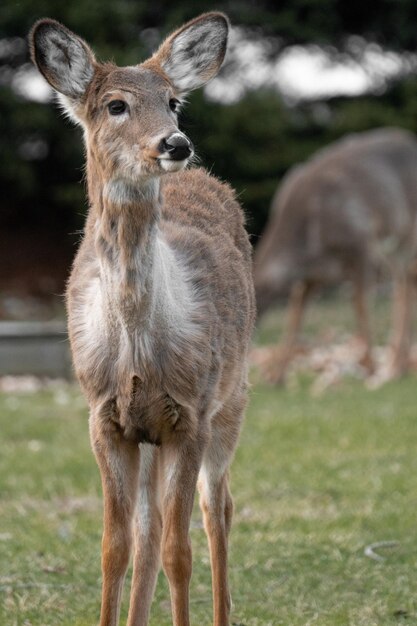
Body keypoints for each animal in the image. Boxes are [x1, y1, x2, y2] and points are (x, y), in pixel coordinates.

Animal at [29, 14, 254, 624]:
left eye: (173, 102)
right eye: (115, 105)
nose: (175, 143)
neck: (136, 351)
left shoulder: (192, 413)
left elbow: (181, 551)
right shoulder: (104, 415)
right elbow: (115, 547)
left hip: (235, 395)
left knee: (218, 508)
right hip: (152, 435)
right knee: (149, 531)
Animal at [252, 127, 416, 382]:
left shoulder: (361, 246)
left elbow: (360, 303)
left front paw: (369, 366)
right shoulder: (313, 277)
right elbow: (295, 314)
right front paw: (278, 375)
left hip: (405, 230)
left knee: (406, 280)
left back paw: (396, 366)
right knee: (403, 281)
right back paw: (398, 366)